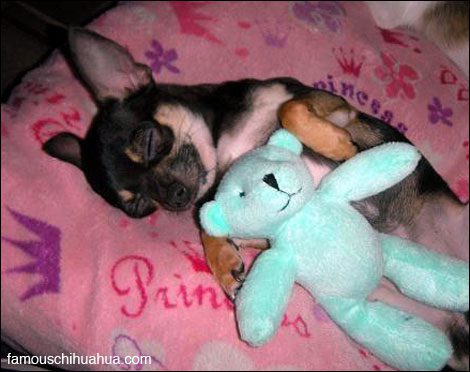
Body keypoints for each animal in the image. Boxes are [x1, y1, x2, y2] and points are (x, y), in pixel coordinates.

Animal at [43, 28, 466, 370]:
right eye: (139, 207)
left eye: (147, 141)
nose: (176, 198)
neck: (224, 146)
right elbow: (208, 220)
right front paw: (224, 263)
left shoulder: (327, 105)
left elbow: (290, 110)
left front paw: (337, 144)